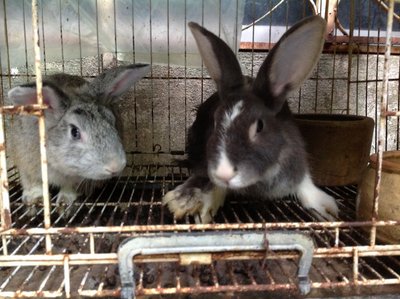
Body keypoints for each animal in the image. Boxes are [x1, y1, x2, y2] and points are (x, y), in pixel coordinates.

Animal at [9, 63, 150, 216]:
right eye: (74, 132)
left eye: (112, 122)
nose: (116, 166)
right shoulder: (26, 164)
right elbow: (33, 183)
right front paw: (34, 201)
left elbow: (69, 188)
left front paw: (65, 204)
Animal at [164, 16, 340, 223]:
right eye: (215, 122)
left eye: (260, 126)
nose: (224, 172)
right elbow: (212, 184)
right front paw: (194, 205)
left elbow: (305, 185)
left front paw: (329, 210)